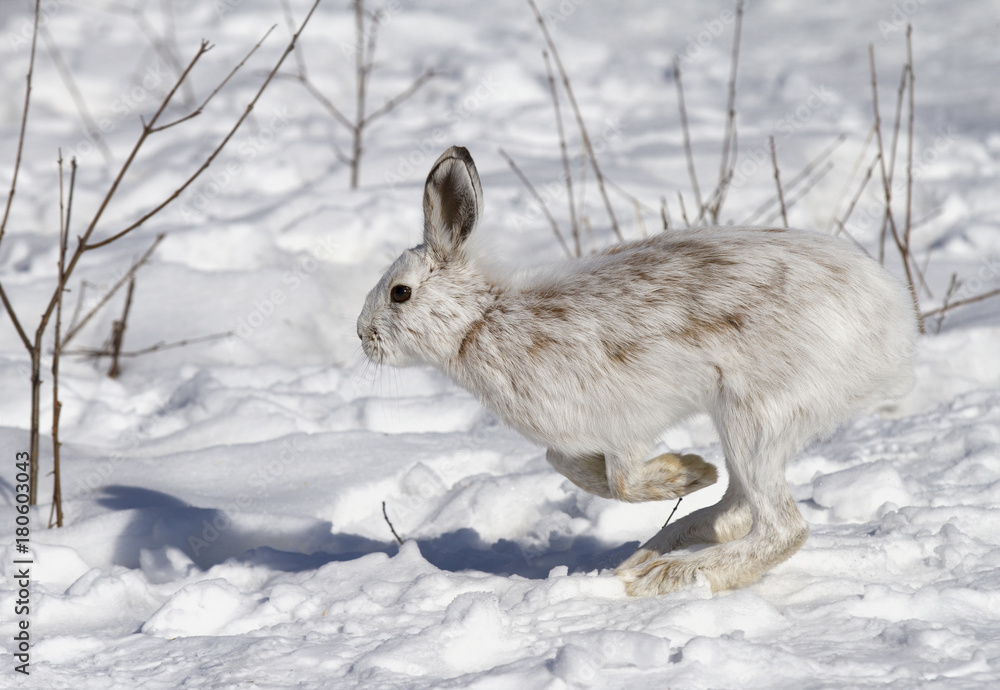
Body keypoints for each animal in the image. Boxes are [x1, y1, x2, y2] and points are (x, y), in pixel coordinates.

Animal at [357, 146, 918, 596]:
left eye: (400, 293)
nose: (362, 335)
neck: (478, 322)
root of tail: (893, 325)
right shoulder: (573, 437)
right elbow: (566, 465)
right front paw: (693, 470)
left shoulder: (622, 422)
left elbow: (622, 481)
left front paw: (685, 472)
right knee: (738, 505)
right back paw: (649, 554)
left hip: (754, 414)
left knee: (782, 527)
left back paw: (668, 575)